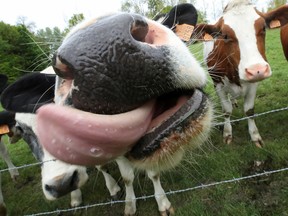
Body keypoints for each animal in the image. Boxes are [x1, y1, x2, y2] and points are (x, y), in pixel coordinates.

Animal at [1, 12, 213, 216]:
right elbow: (126, 177)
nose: (99, 47)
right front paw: (128, 203)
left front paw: (162, 203)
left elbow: (153, 174)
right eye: (22, 130)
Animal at [191, 0, 288, 147]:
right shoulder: (218, 84)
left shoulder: (253, 85)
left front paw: (255, 136)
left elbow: (249, 110)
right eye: (225, 36)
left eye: (263, 28)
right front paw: (227, 133)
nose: (257, 70)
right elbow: (226, 110)